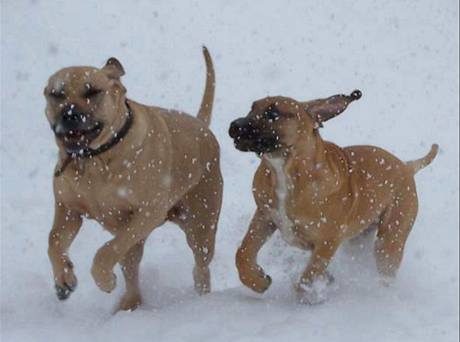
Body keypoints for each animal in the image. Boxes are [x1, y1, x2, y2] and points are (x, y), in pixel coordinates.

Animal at [45, 46, 223, 312]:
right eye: (56, 94)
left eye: (92, 91)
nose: (70, 114)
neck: (96, 158)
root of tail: (201, 124)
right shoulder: (69, 209)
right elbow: (54, 241)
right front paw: (64, 279)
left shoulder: (147, 213)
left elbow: (105, 251)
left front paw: (105, 280)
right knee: (131, 267)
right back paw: (128, 304)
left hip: (201, 223)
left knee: (200, 265)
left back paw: (201, 298)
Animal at [230, 91, 438, 304]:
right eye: (252, 108)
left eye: (273, 113)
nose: (234, 126)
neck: (286, 171)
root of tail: (406, 166)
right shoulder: (265, 216)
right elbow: (243, 252)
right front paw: (256, 280)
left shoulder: (327, 241)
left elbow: (309, 275)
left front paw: (314, 291)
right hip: (360, 238)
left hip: (390, 239)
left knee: (386, 267)